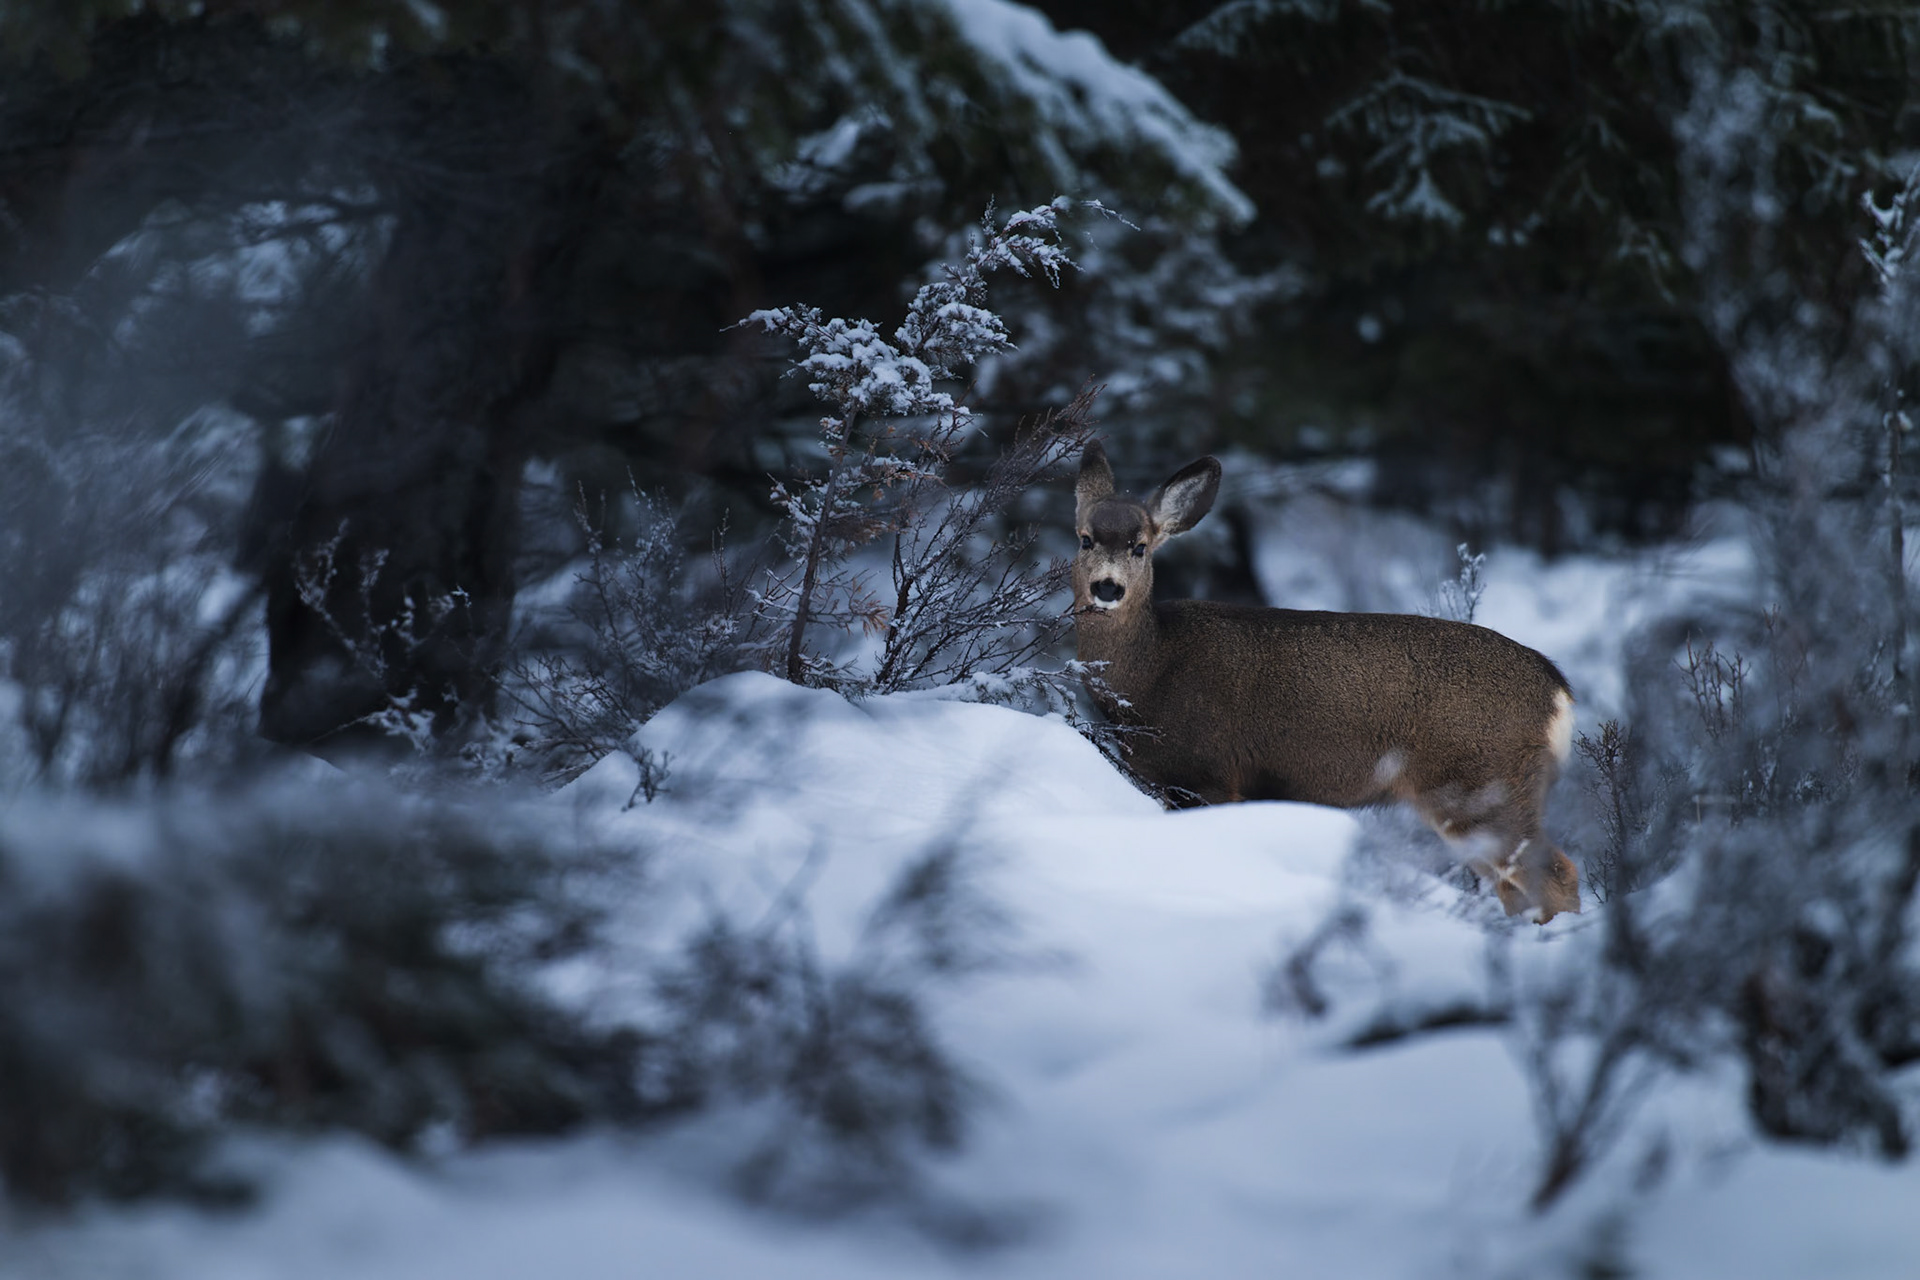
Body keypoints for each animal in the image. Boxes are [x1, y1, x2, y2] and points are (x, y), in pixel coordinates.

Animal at [1073, 441, 1581, 923]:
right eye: (1085, 540)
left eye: (1140, 545)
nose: (1107, 587)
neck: (1149, 673)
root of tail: (1559, 691)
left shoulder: (1209, 774)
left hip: (1484, 786)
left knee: (1557, 874)